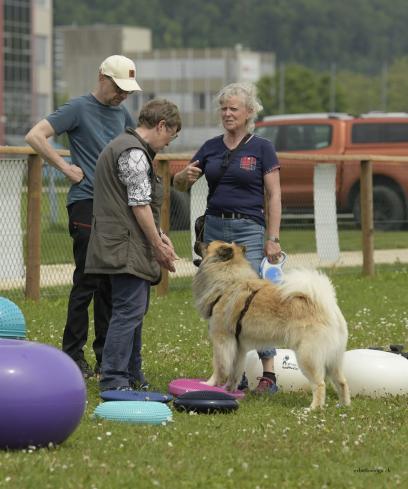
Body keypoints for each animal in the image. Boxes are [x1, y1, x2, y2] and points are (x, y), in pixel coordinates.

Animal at [194, 240, 350, 408]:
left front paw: (209, 384)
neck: (229, 280)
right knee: (342, 382)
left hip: (307, 356)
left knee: (320, 384)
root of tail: (327, 305)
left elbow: (219, 366)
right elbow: (235, 371)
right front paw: (229, 389)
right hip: (333, 359)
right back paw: (343, 406)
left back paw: (313, 408)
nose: (197, 241)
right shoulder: (238, 347)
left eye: (207, 244)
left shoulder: (221, 340)